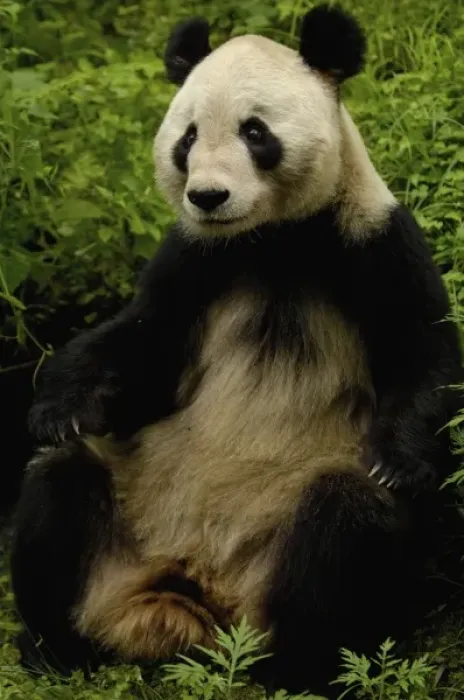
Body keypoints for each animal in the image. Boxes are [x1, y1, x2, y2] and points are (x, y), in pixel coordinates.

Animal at [10, 4, 463, 696]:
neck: (270, 239)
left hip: (277, 555)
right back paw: (55, 650)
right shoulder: (193, 260)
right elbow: (139, 348)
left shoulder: (373, 241)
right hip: (131, 514)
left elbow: (427, 356)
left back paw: (299, 669)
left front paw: (398, 461)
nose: (208, 196)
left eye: (256, 132)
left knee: (344, 519)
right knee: (60, 482)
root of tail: (192, 602)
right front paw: (60, 406)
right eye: (188, 137)